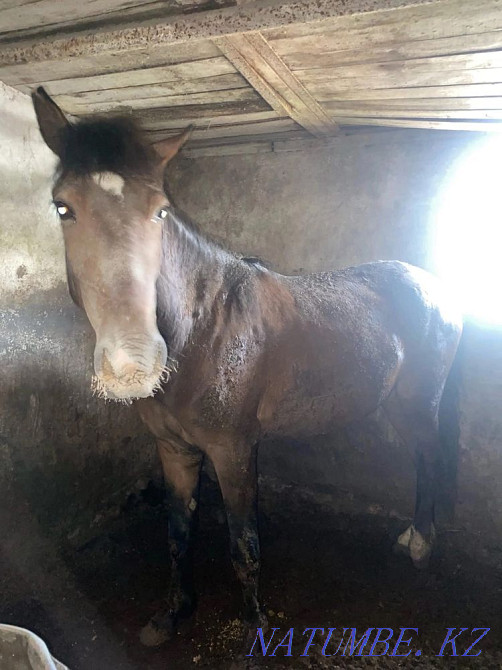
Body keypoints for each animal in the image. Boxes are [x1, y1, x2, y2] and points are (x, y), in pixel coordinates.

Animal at [32, 86, 463, 647]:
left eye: (160, 211)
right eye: (63, 207)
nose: (134, 363)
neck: (201, 330)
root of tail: (434, 286)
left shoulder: (234, 452)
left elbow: (244, 544)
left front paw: (254, 624)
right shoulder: (174, 451)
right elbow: (177, 534)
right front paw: (172, 613)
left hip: (419, 403)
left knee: (429, 457)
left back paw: (419, 544)